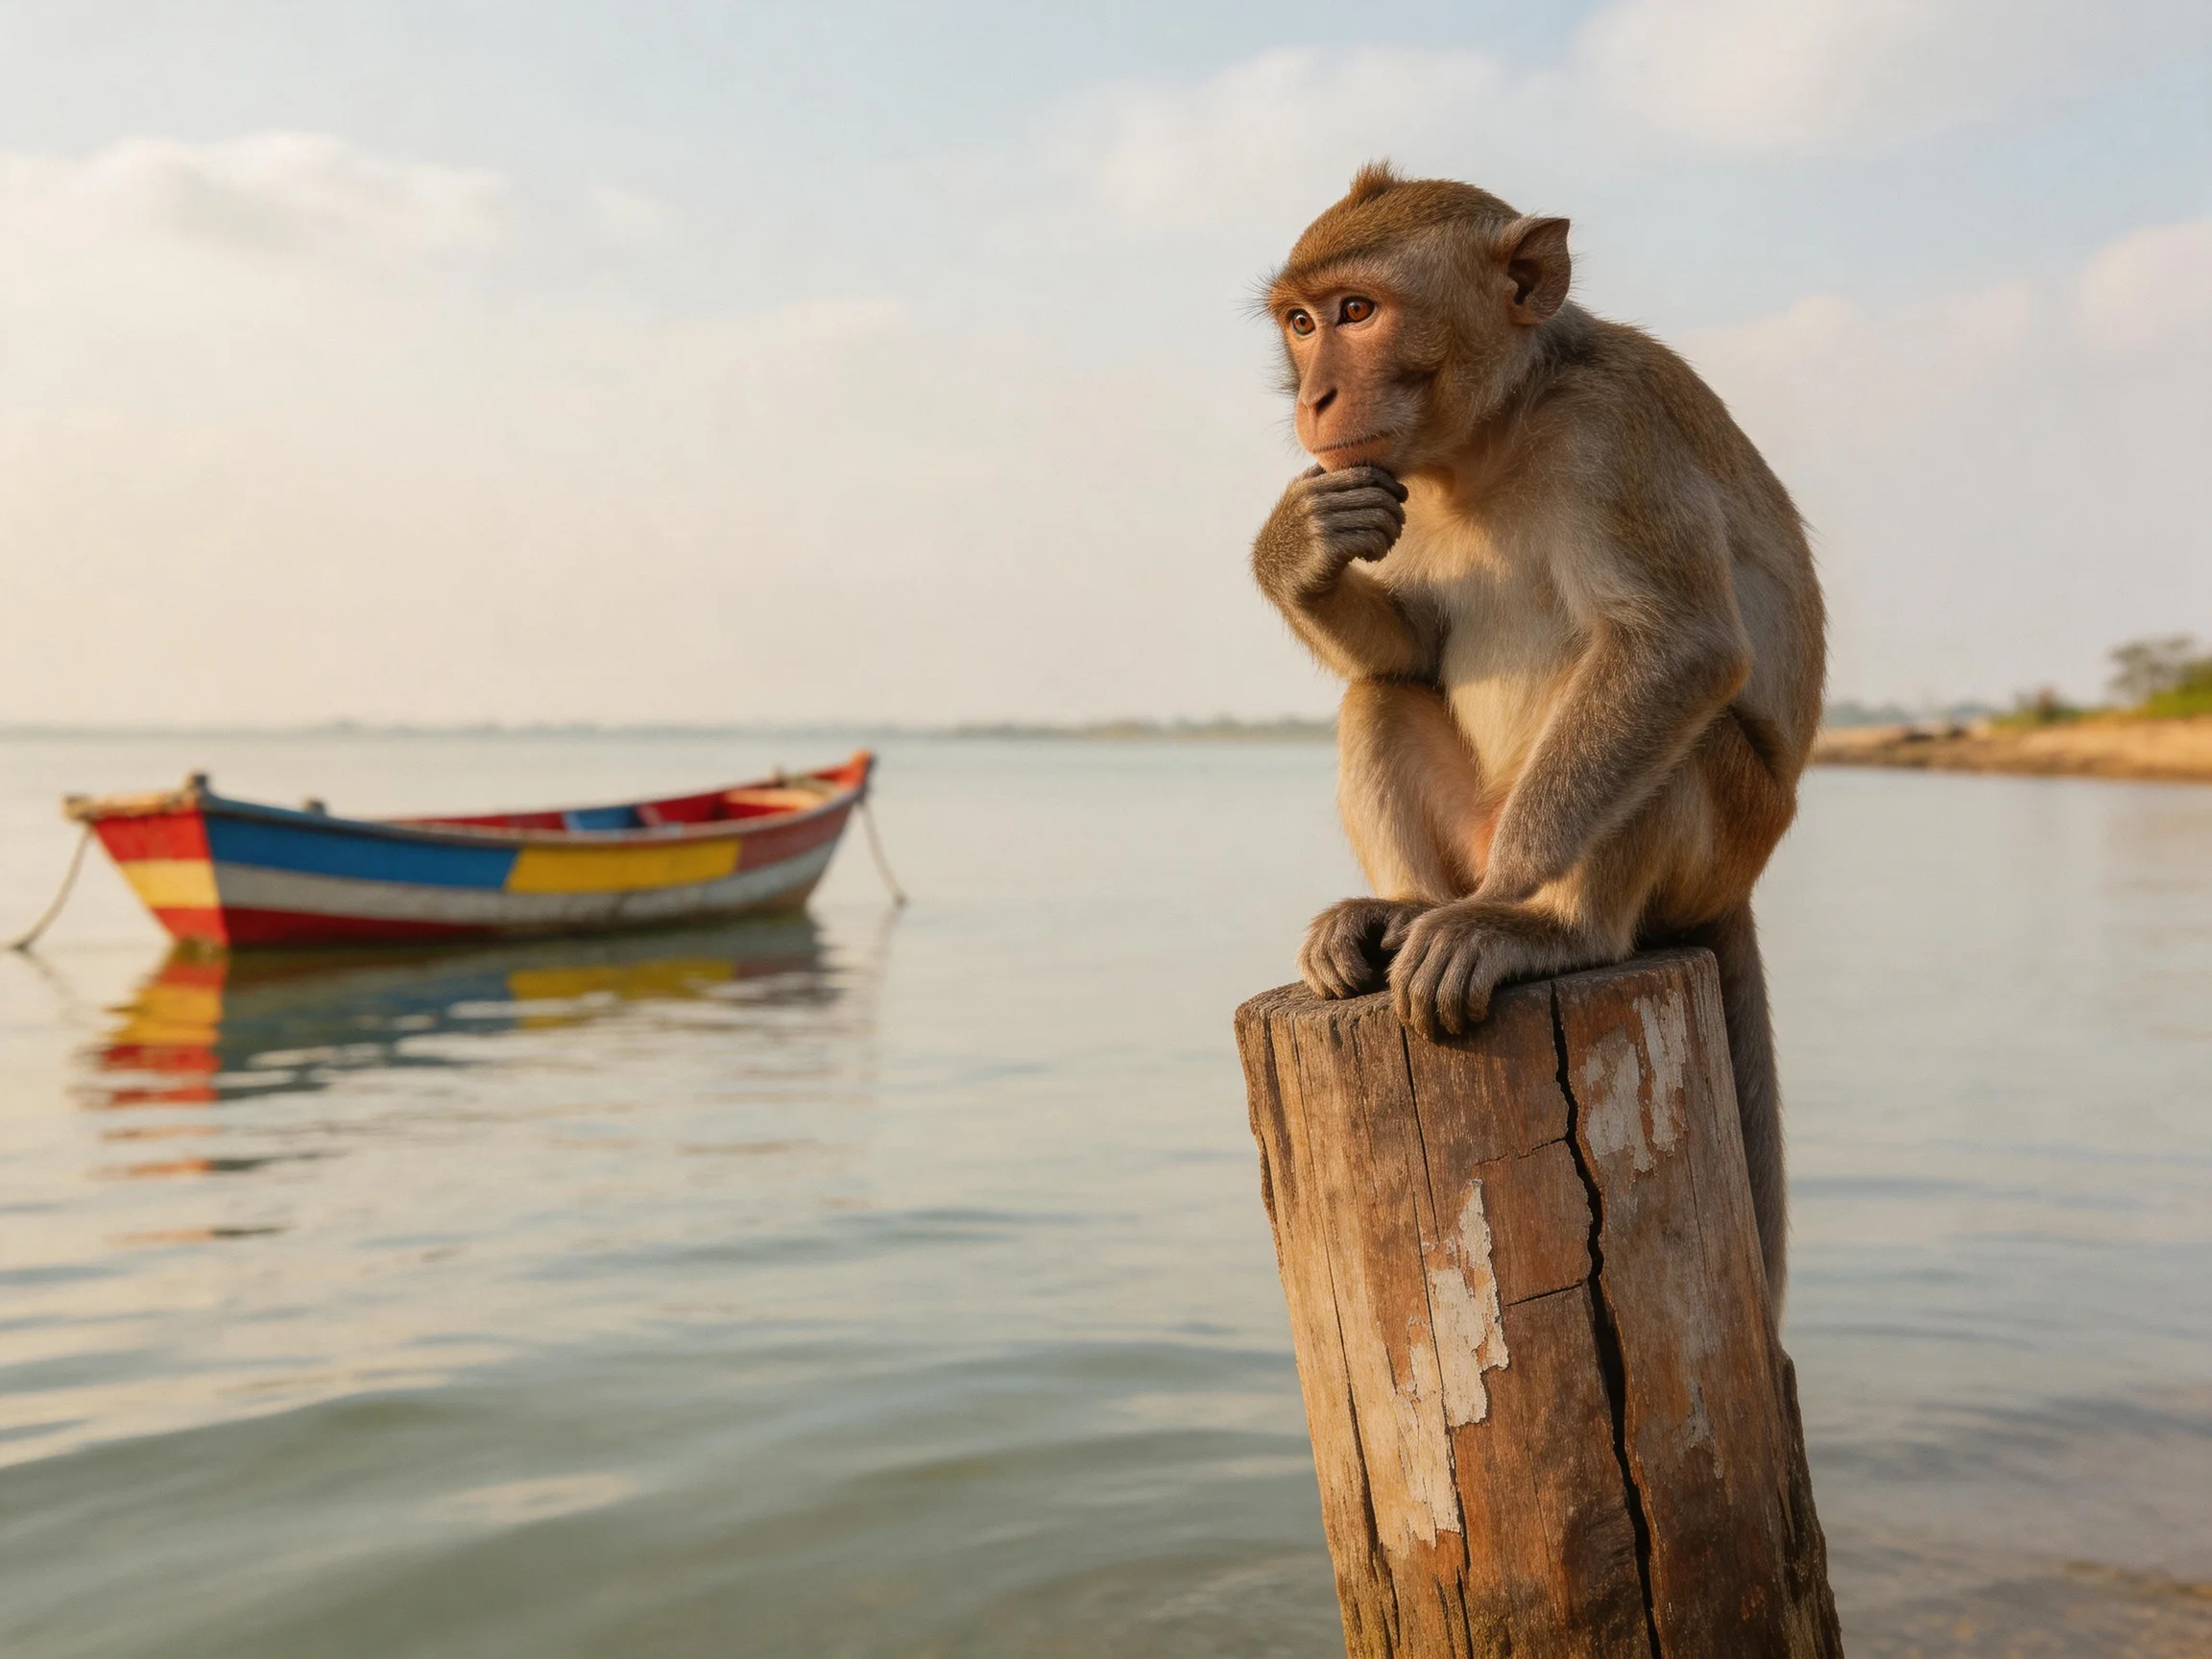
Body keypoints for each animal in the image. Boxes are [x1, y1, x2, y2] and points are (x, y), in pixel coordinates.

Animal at [1251, 163, 1824, 1305]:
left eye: (1357, 311)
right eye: (1299, 322)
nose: (1313, 398)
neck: (1495, 432)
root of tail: (1737, 889)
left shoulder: (1616, 430)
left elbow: (1676, 646)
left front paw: (1505, 904)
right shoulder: (1390, 479)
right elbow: (1413, 649)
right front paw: (1299, 545)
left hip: (1725, 839)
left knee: (1673, 724)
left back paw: (1542, 926)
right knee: (1380, 693)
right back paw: (1398, 909)